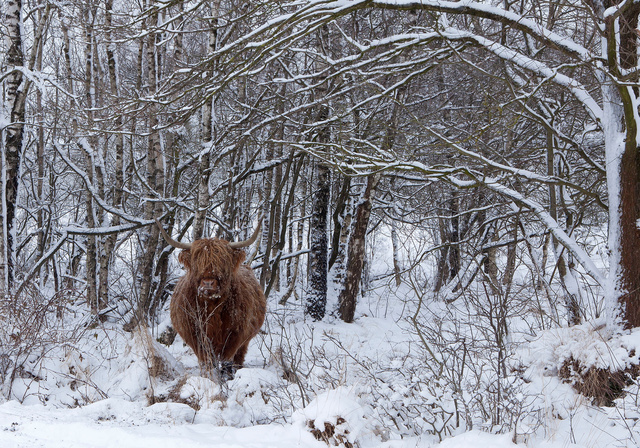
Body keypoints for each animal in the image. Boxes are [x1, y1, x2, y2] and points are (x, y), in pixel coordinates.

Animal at [158, 220, 268, 378]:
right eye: (197, 261)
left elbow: (227, 360)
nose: (208, 283)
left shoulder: (235, 335)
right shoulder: (197, 337)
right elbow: (207, 361)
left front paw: (227, 377)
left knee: (239, 356)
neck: (211, 305)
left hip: (245, 340)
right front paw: (210, 377)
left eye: (222, 261)